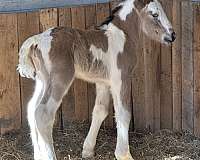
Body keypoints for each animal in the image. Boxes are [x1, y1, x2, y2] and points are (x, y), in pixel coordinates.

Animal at [18, 0, 176, 160]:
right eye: (154, 14)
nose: (172, 35)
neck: (122, 36)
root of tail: (36, 40)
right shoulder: (121, 79)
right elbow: (123, 113)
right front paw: (124, 154)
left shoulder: (103, 82)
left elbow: (100, 110)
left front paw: (88, 150)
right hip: (60, 79)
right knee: (43, 113)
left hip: (43, 81)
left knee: (31, 109)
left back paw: (39, 154)